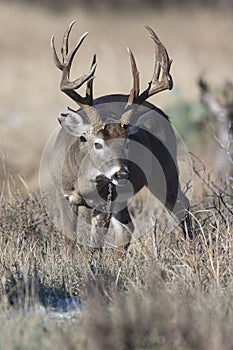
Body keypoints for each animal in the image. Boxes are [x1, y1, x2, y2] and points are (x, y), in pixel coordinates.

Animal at [50, 21, 193, 256]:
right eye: (96, 143)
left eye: (127, 143)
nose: (122, 173)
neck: (84, 186)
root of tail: (163, 114)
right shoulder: (64, 197)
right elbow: (69, 241)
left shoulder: (106, 202)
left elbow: (96, 245)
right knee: (128, 226)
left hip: (165, 170)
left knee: (181, 206)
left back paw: (192, 246)